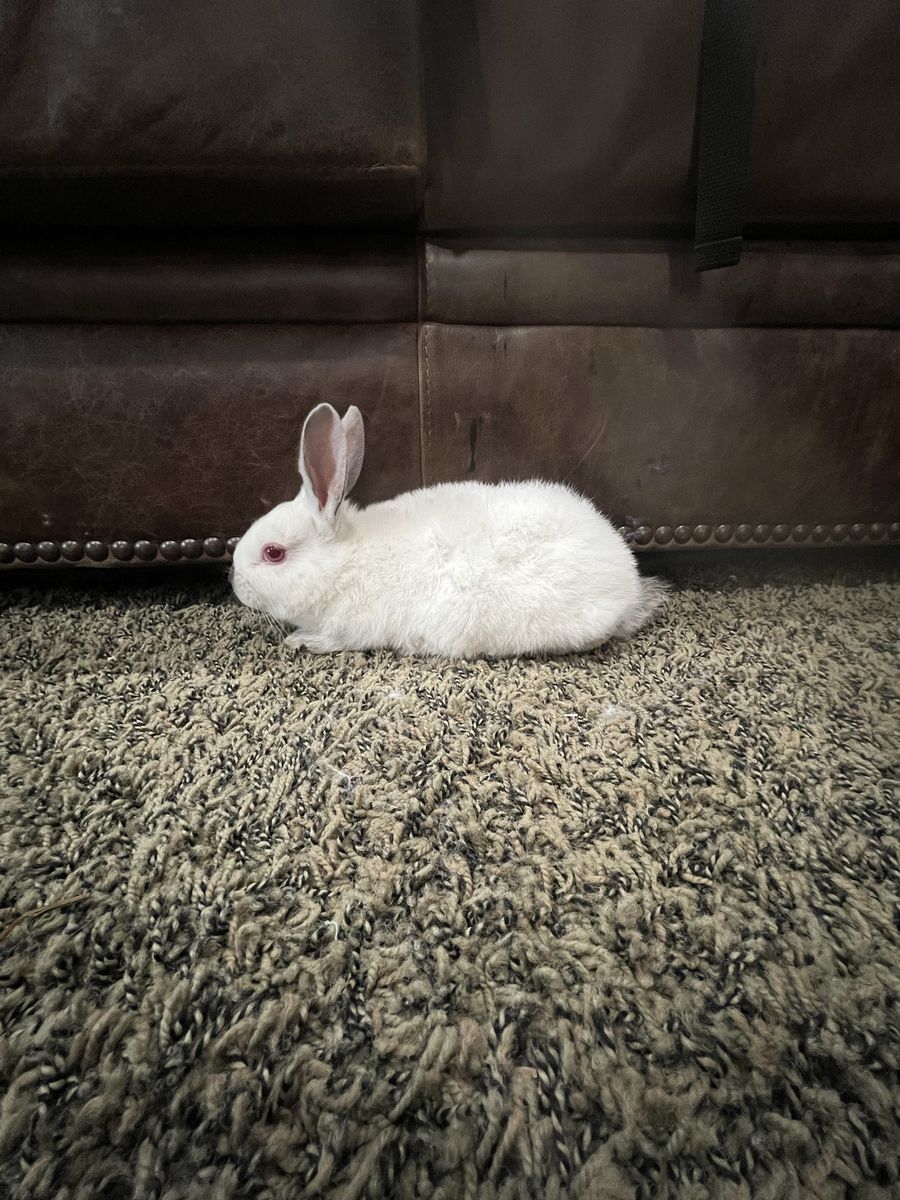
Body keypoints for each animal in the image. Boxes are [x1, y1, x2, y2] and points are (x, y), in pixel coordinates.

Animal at [231, 403, 667, 658]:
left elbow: (334, 641)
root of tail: (627, 578)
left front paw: (300, 641)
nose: (234, 582)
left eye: (273, 553)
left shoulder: (351, 627)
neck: (342, 563)